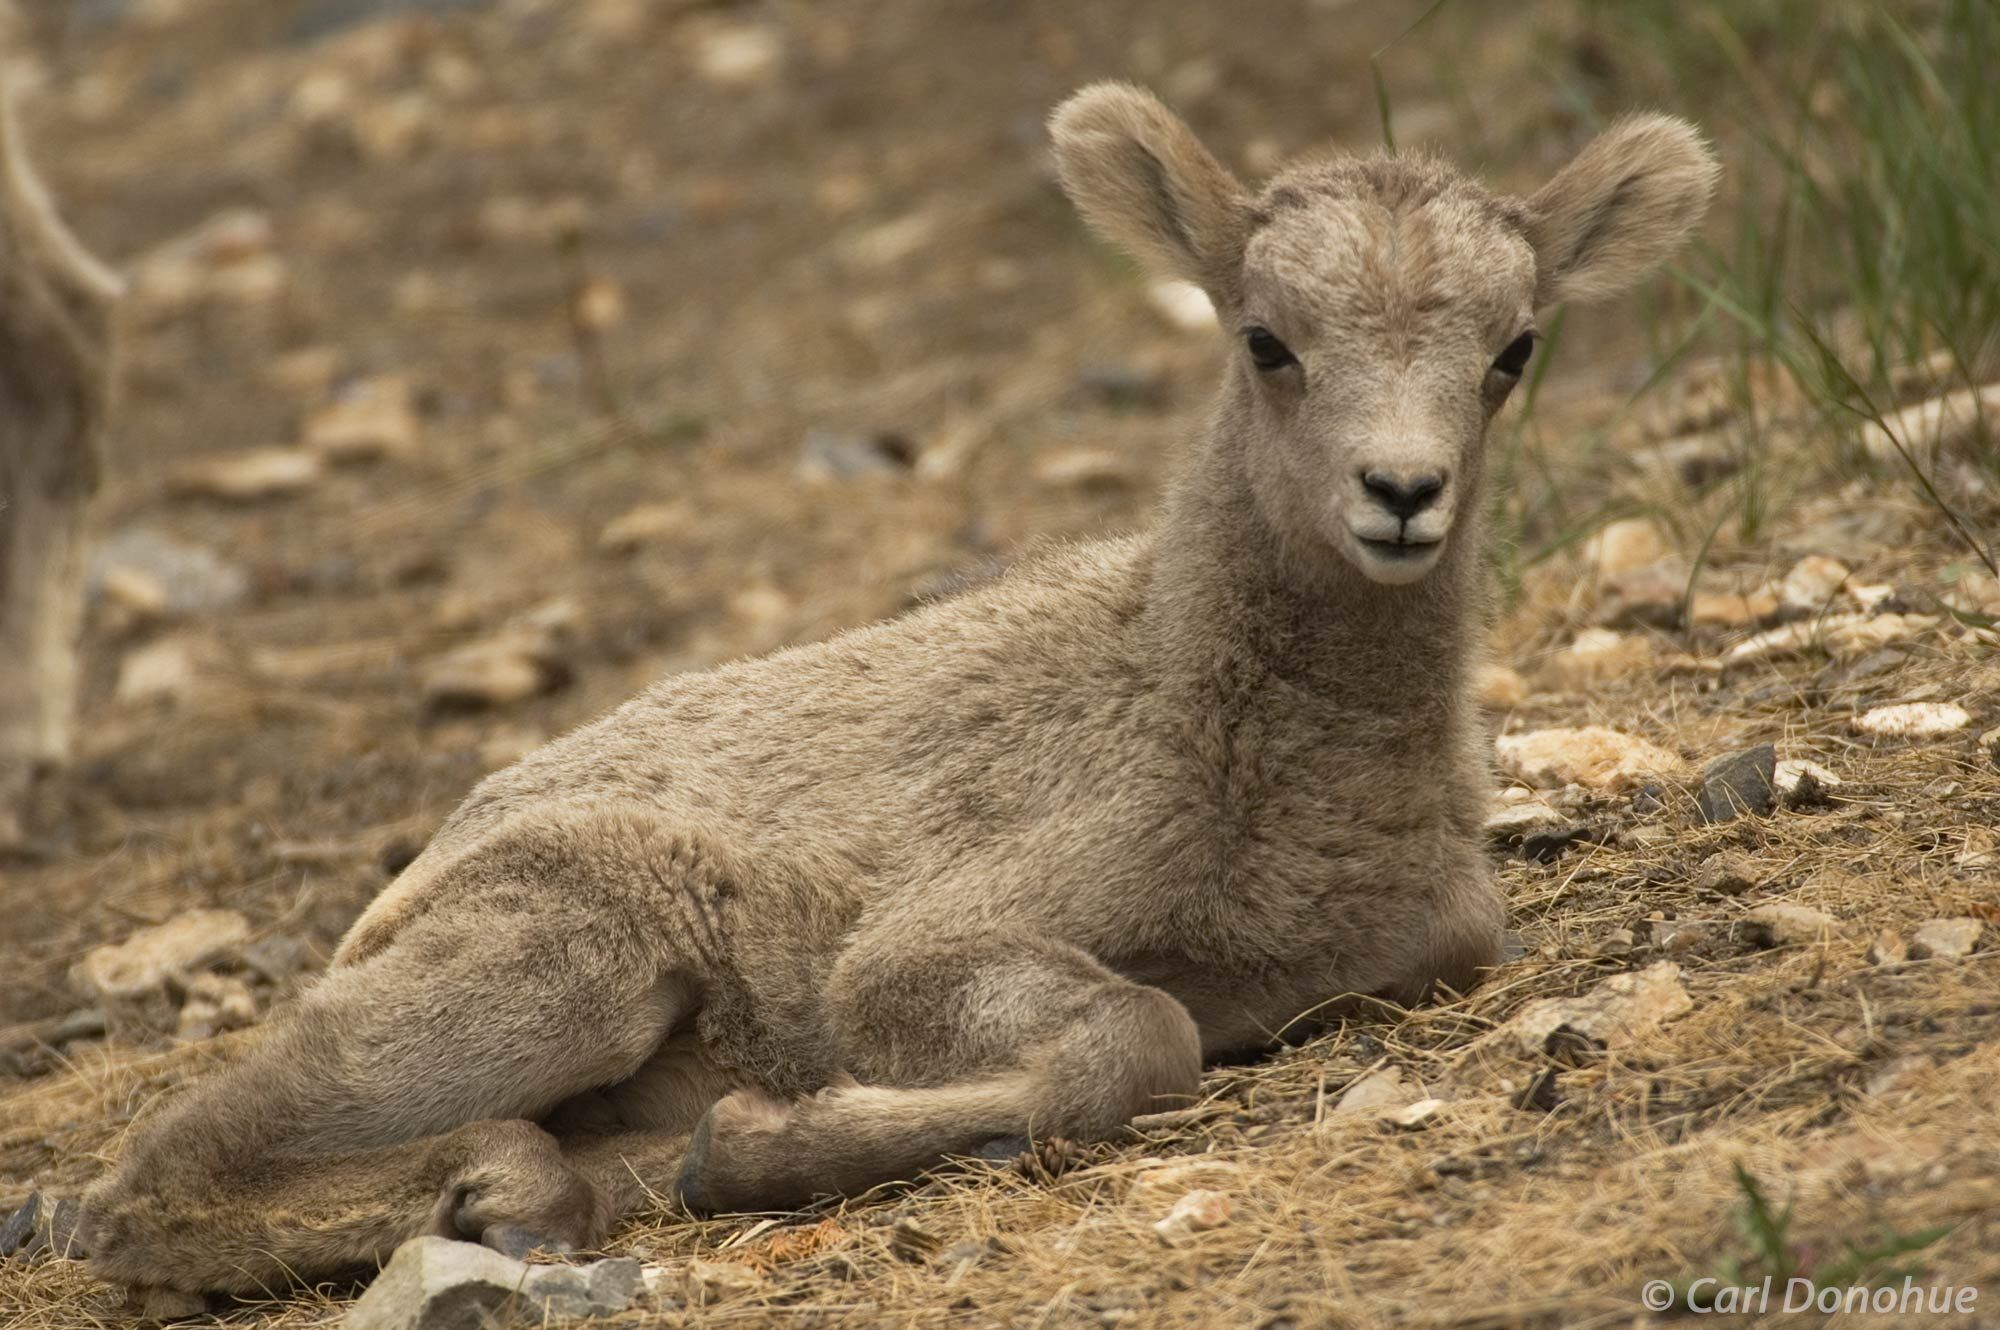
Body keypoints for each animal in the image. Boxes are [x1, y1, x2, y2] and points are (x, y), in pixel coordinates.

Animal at [82, 85, 1720, 1296]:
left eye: (1512, 351)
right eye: (1266, 341)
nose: (1400, 495)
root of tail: (423, 863)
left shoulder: (1436, 940)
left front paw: (737, 1143)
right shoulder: (921, 953)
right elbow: (1137, 1035)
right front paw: (766, 1144)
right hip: (564, 956)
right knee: (149, 1184)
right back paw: (503, 1185)